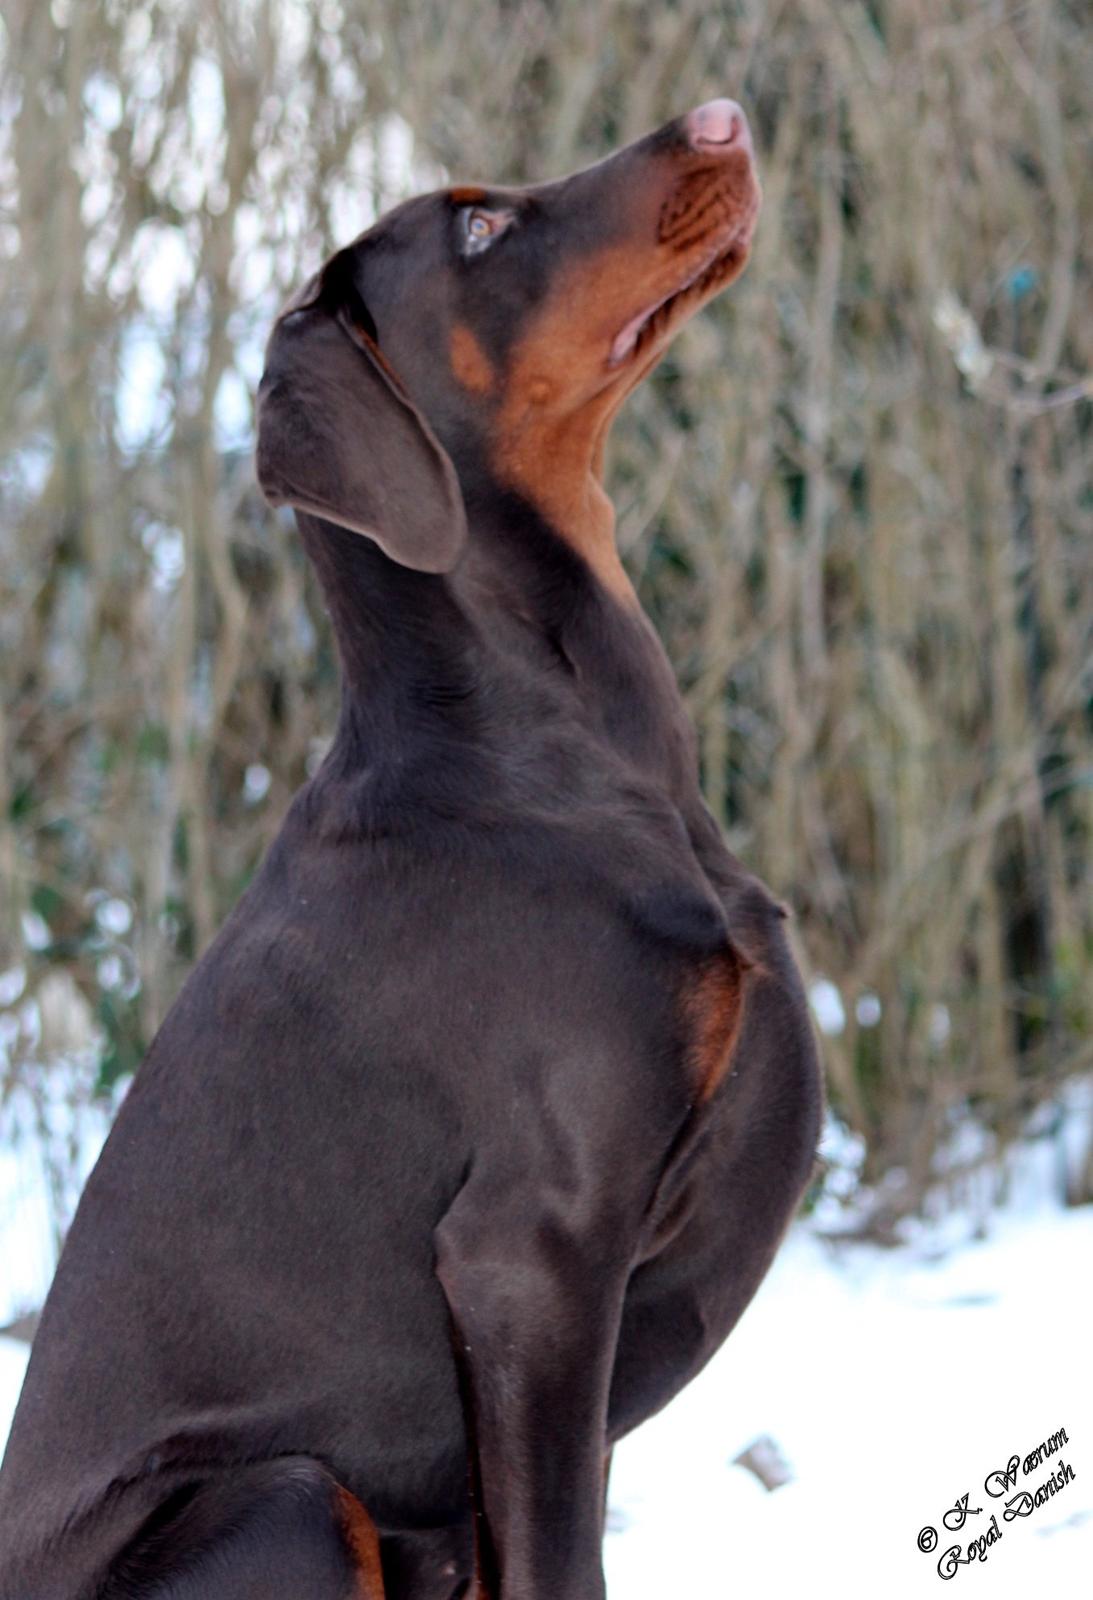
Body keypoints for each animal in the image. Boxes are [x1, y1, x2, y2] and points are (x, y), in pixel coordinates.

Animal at [0, 100, 819, 1600]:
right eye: (482, 230)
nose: (722, 117)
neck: (547, 751)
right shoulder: (530, 1252)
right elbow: (560, 1566)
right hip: (289, 1492)